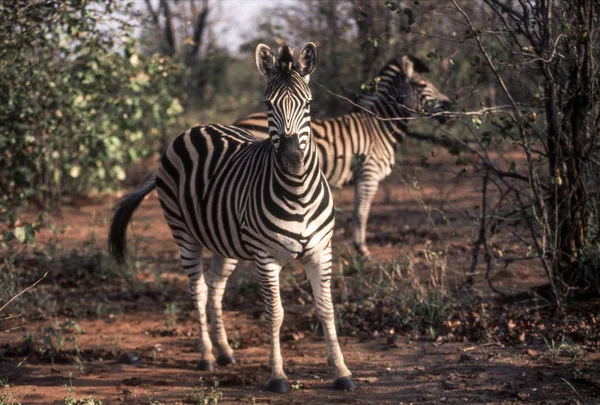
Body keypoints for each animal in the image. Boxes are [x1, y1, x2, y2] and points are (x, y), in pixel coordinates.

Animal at [108, 43, 356, 392]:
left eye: (308, 104)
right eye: (268, 104)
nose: (292, 160)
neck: (298, 194)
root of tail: (196, 128)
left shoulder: (321, 251)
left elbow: (326, 310)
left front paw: (342, 372)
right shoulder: (266, 258)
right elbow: (275, 313)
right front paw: (278, 376)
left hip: (224, 240)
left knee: (215, 288)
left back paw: (225, 352)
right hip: (184, 234)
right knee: (198, 291)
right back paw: (207, 357)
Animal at [234, 53, 450, 258]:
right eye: (422, 85)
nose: (450, 105)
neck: (378, 128)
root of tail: (239, 122)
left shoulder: (360, 177)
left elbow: (357, 211)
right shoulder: (368, 174)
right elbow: (362, 213)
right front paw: (362, 250)